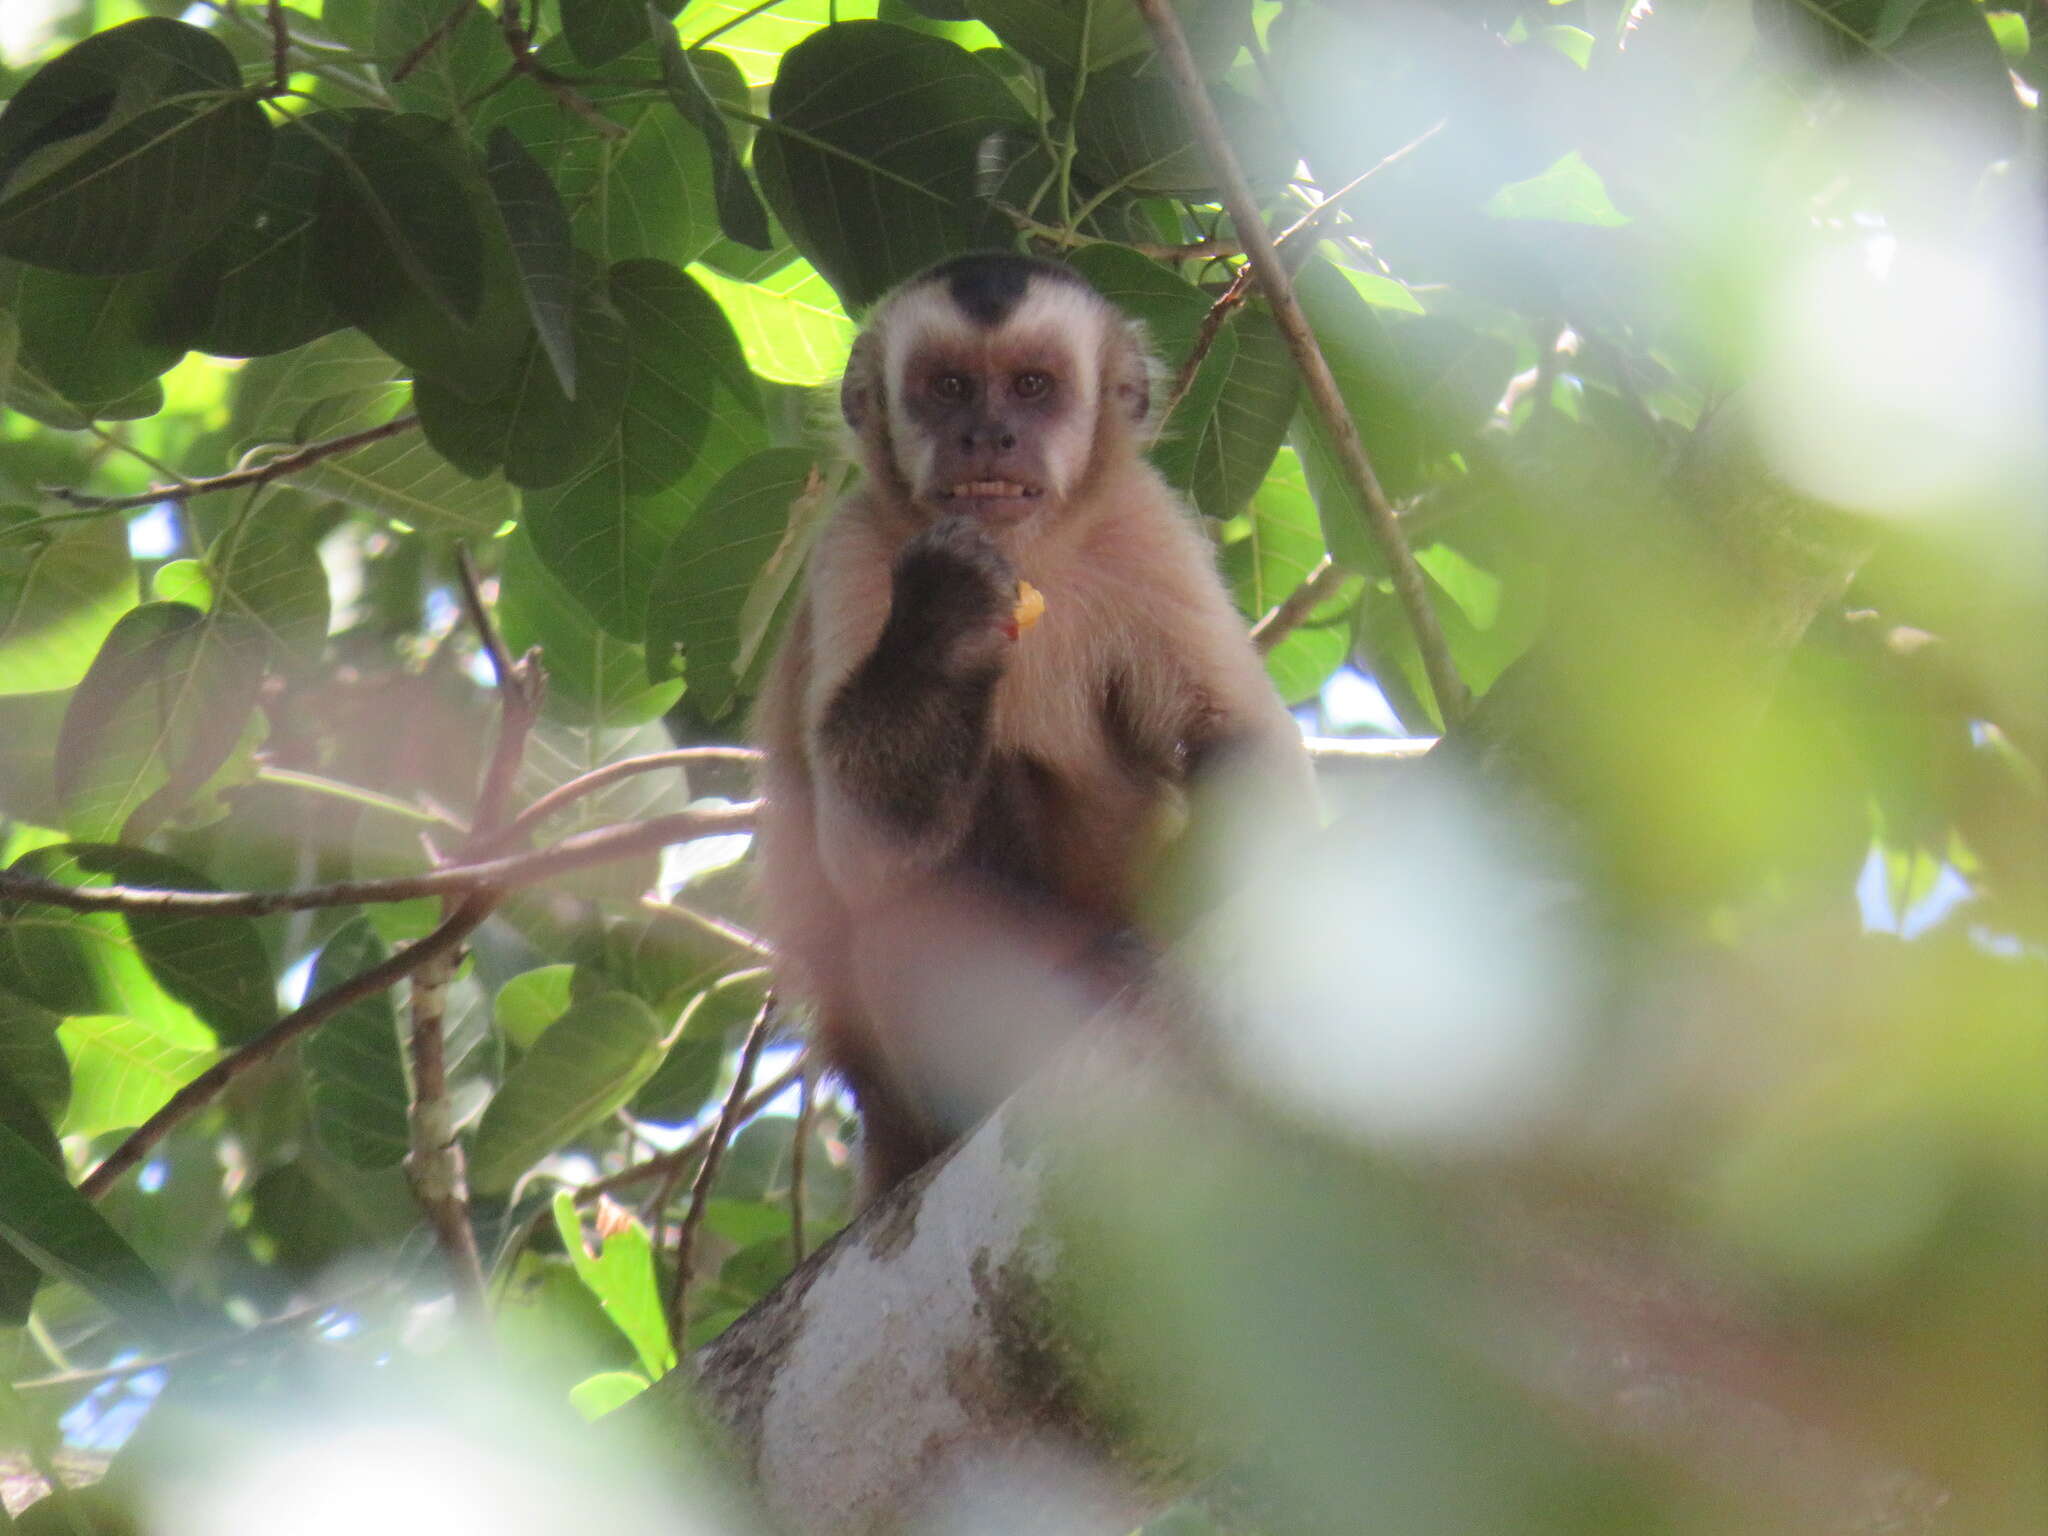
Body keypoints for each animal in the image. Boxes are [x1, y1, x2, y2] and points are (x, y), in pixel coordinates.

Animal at [753, 252, 1310, 1204]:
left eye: (1031, 386)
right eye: (948, 387)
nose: (988, 436)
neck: (1028, 555)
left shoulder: (1144, 527)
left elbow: (1240, 741)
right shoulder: (853, 552)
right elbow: (865, 850)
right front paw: (941, 626)